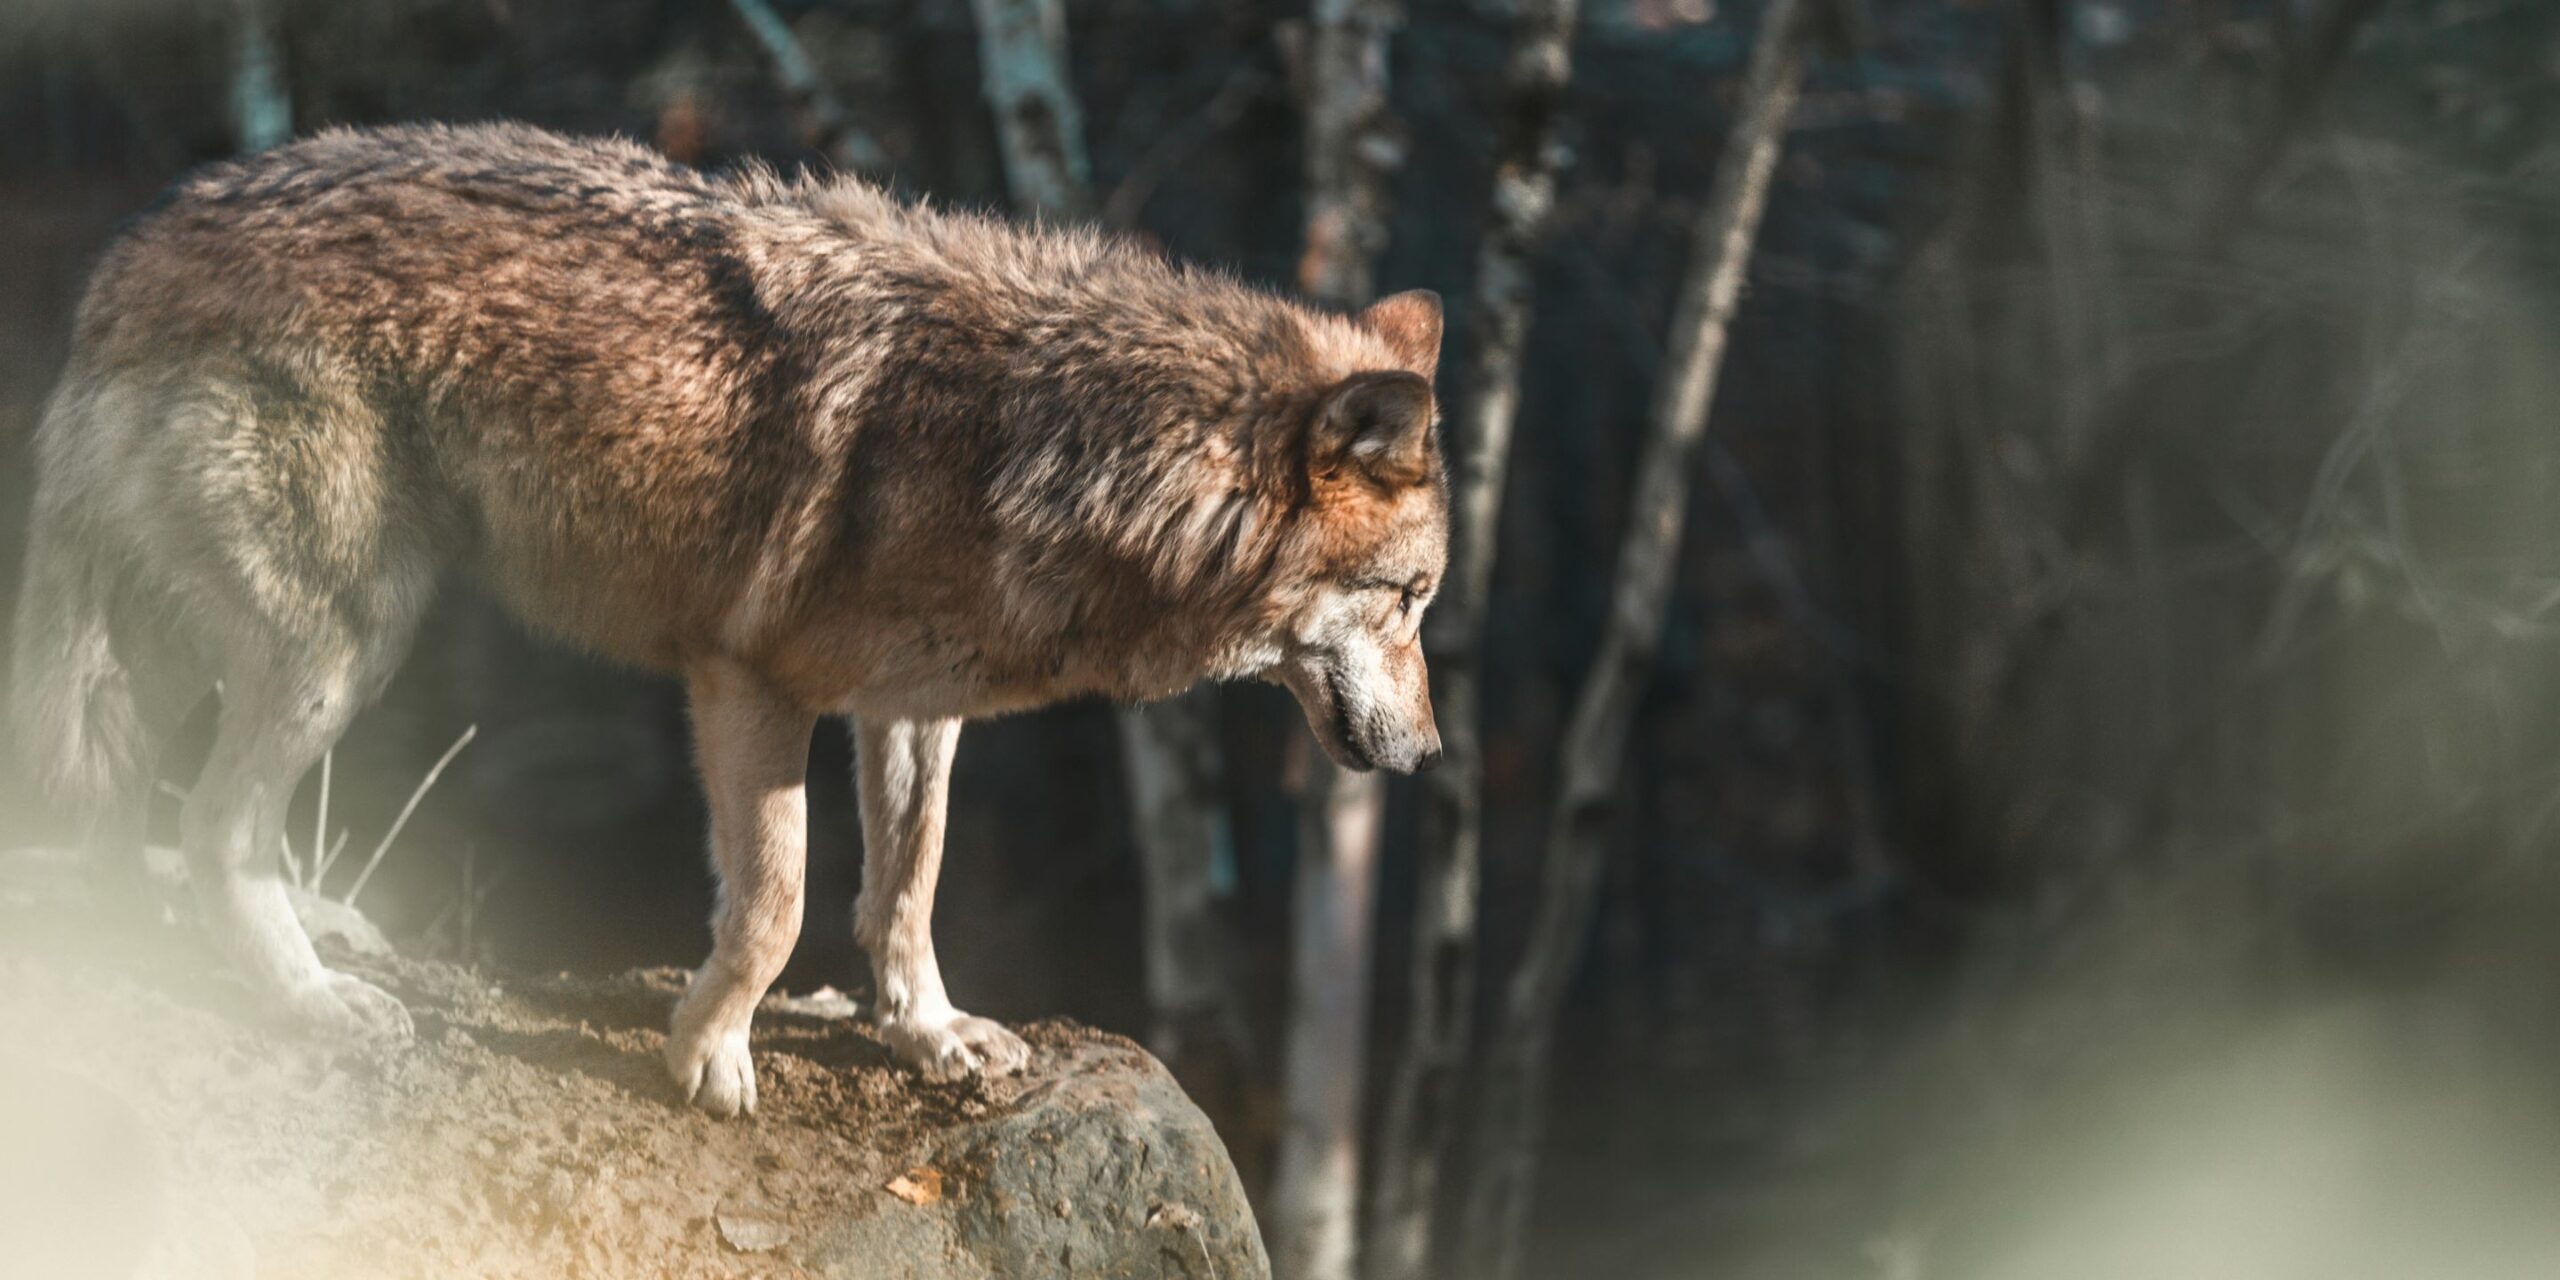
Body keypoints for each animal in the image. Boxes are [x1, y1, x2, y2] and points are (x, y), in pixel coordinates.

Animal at [10, 123, 1446, 1114]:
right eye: (1415, 597)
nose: (1433, 756)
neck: (1042, 440)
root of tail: (139, 244)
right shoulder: (750, 683)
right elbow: (776, 903)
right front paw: (708, 1053)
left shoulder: (913, 707)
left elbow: (907, 887)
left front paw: (931, 1035)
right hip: (338, 643)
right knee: (212, 826)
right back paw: (312, 1000)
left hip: (214, 648)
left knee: (146, 817)